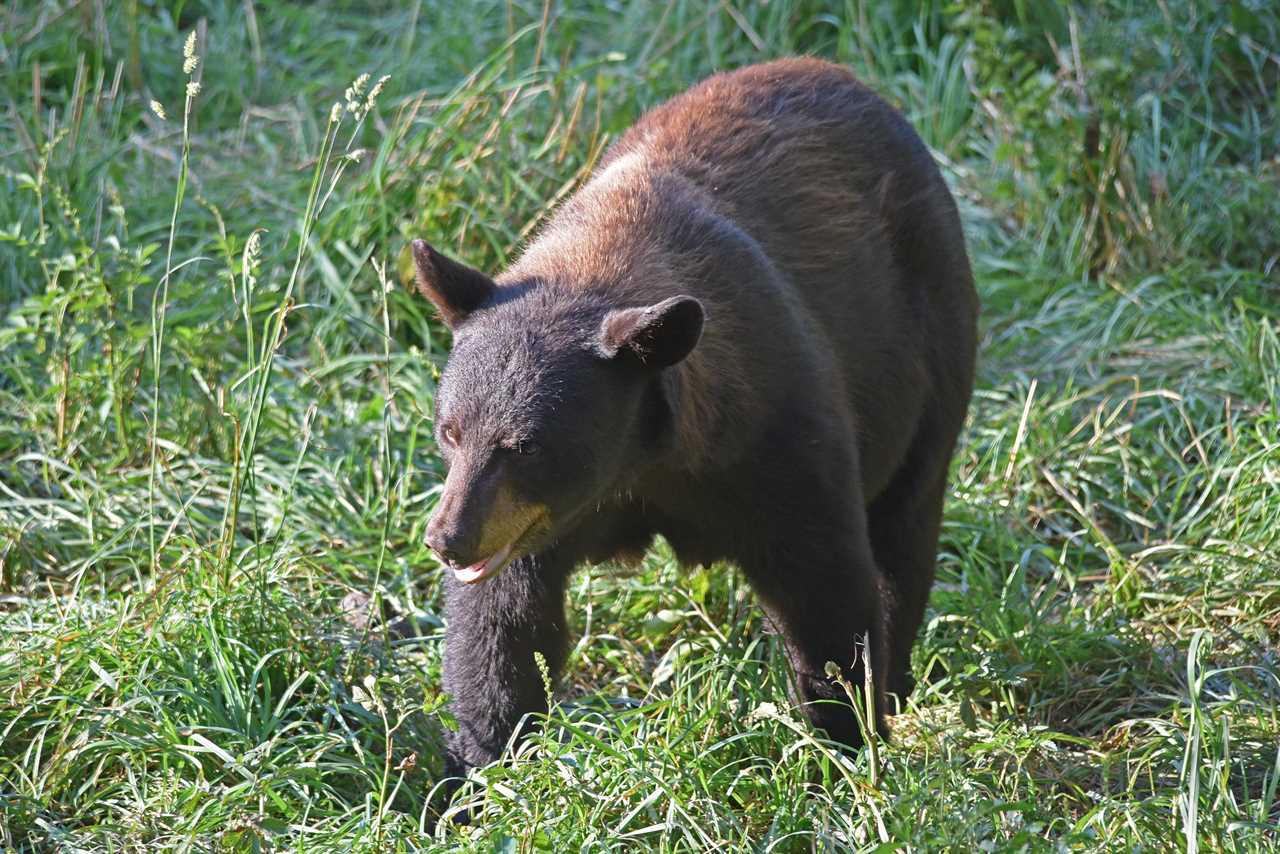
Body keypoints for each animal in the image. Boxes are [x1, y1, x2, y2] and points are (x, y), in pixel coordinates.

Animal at [414, 58, 972, 783]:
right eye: (450, 431)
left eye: (526, 445)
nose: (446, 540)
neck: (644, 463)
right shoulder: (530, 521)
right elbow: (503, 628)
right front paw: (485, 767)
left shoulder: (776, 434)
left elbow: (826, 589)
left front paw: (845, 746)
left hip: (931, 357)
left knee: (905, 527)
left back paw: (897, 680)